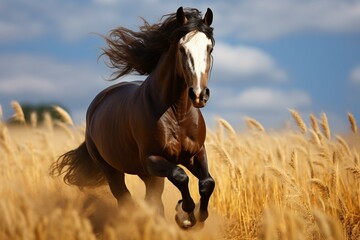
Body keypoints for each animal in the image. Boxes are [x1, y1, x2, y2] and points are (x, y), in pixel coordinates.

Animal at [49, 7, 215, 229]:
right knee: (125, 198)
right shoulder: (152, 159)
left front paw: (197, 216)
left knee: (152, 200)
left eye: (209, 48)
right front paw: (186, 214)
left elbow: (207, 183)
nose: (199, 94)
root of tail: (97, 104)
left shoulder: (195, 153)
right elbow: (180, 176)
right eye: (182, 48)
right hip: (114, 170)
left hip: (147, 174)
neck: (177, 115)